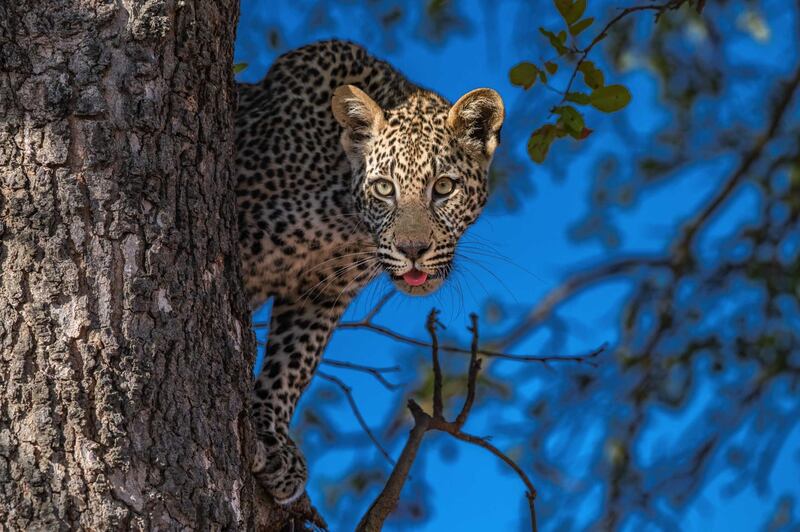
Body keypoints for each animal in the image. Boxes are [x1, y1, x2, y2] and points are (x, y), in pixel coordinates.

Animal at [234, 39, 504, 504]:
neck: (346, 221)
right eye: (383, 188)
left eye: (444, 188)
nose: (413, 251)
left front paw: (270, 433)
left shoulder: (321, 292)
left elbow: (294, 365)